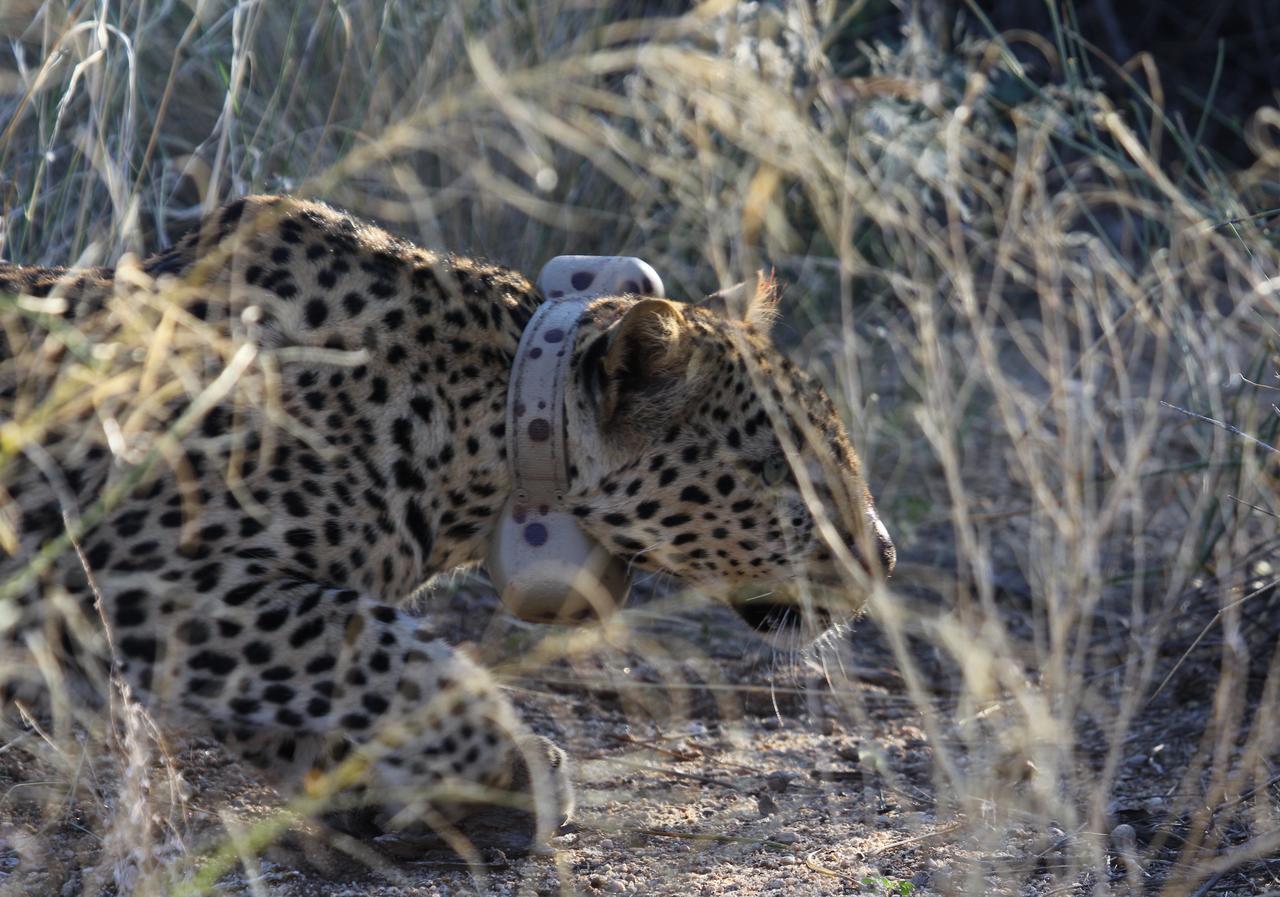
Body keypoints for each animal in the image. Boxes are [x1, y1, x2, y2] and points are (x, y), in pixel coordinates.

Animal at [0, 194, 896, 844]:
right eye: (786, 471)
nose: (883, 556)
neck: (478, 418)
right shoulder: (162, 572)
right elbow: (391, 656)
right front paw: (511, 770)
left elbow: (334, 691)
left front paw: (406, 791)